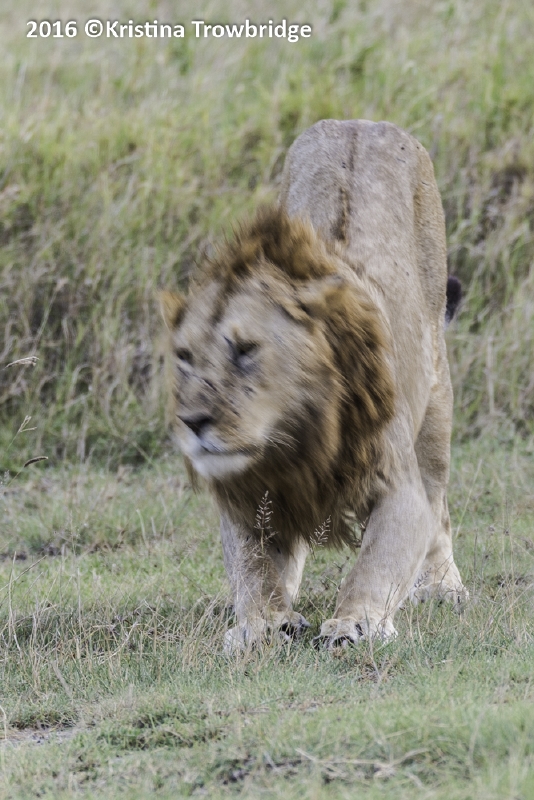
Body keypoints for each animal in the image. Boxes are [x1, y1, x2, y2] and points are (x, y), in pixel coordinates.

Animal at [161, 119, 468, 651]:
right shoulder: (246, 494)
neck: (292, 442)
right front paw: (262, 623)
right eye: (185, 357)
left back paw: (442, 585)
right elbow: (253, 565)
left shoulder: (397, 486)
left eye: (245, 350)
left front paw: (355, 623)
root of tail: (360, 122)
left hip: (435, 402)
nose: (193, 422)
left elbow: (378, 559)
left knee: (438, 505)